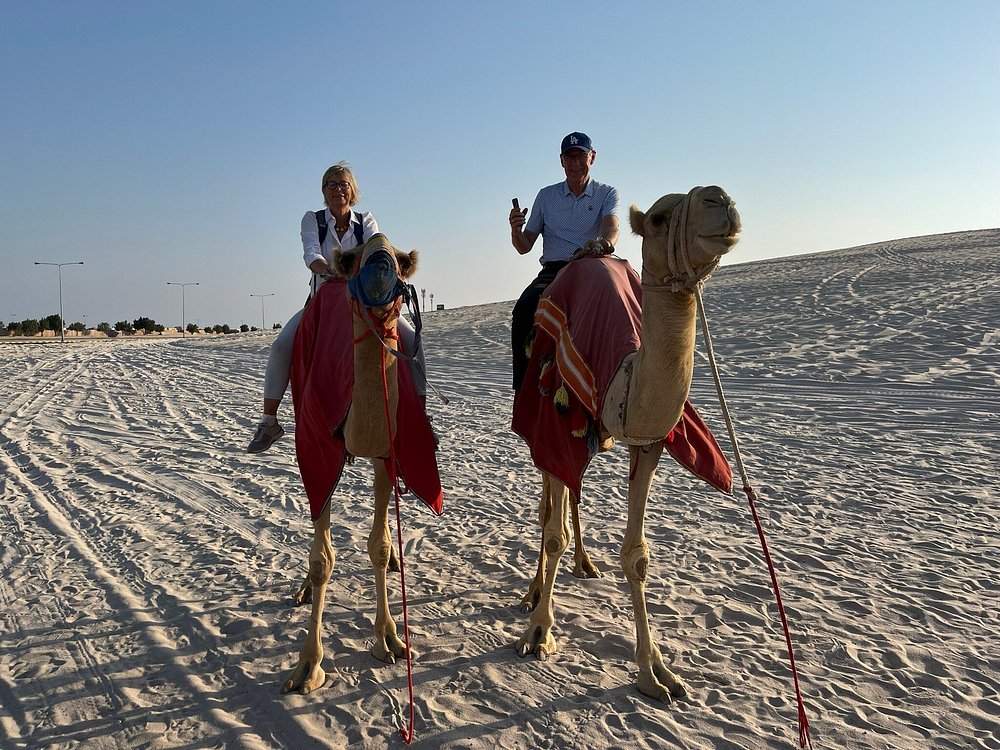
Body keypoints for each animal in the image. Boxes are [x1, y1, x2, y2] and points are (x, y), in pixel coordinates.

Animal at [282, 234, 423, 695]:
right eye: (350, 258)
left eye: (401, 258)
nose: (380, 262)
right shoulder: (317, 451)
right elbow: (321, 559)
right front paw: (308, 665)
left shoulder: (384, 453)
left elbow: (379, 546)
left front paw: (390, 639)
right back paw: (303, 590)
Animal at [514, 186, 741, 703]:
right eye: (658, 218)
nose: (721, 200)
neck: (624, 368)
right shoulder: (554, 426)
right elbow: (552, 530)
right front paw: (539, 631)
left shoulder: (647, 442)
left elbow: (636, 555)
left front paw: (655, 672)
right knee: (548, 504)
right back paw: (534, 593)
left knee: (571, 497)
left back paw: (585, 563)